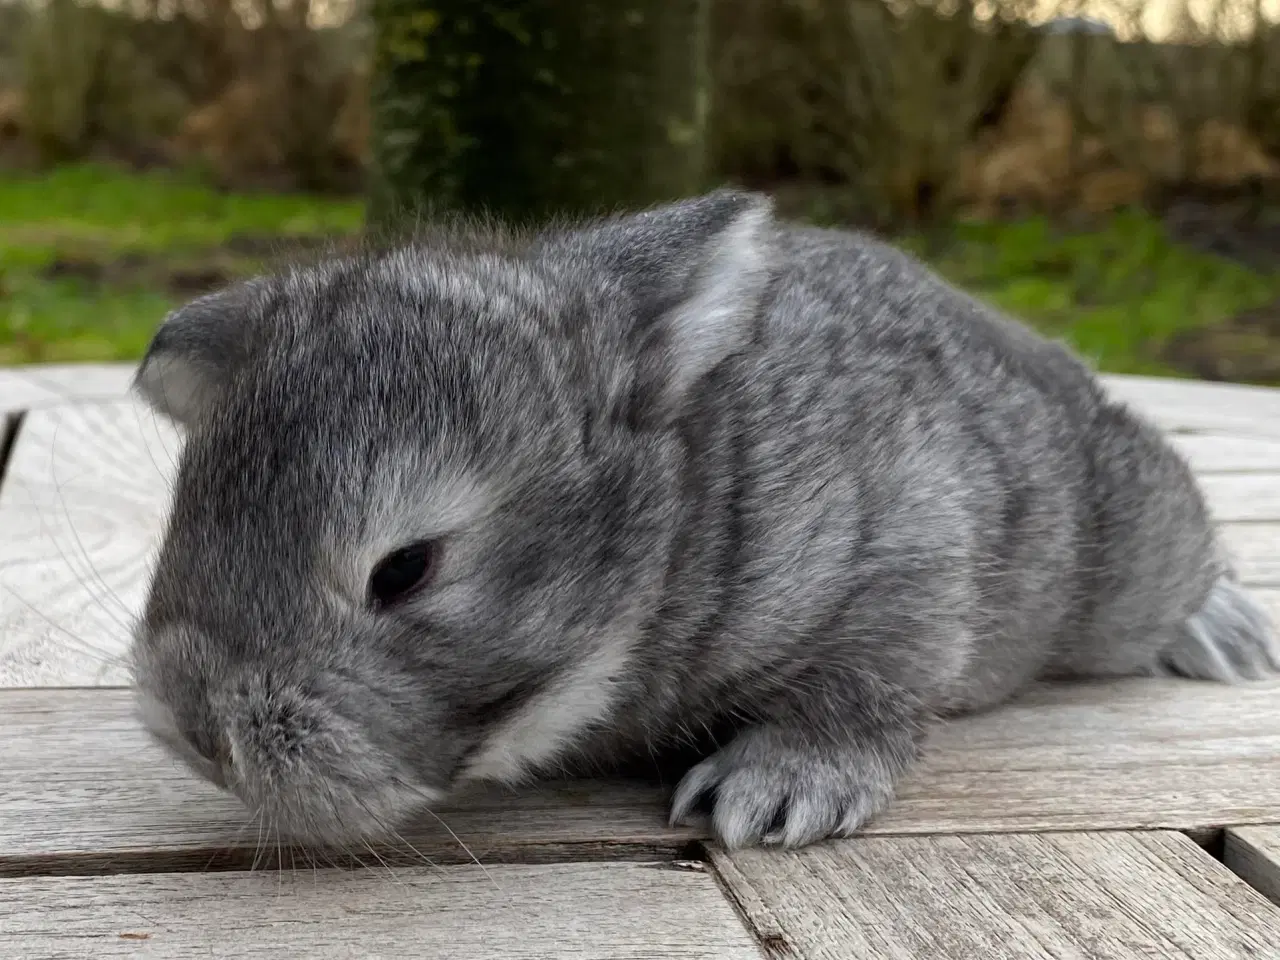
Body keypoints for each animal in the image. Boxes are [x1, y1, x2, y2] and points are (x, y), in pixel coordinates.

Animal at [132, 192, 1280, 855]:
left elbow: (864, 683)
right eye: (182, 518)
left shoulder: (900, 554)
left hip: (1117, 564)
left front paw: (774, 792)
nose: (199, 731)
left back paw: (1224, 631)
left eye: (405, 570)